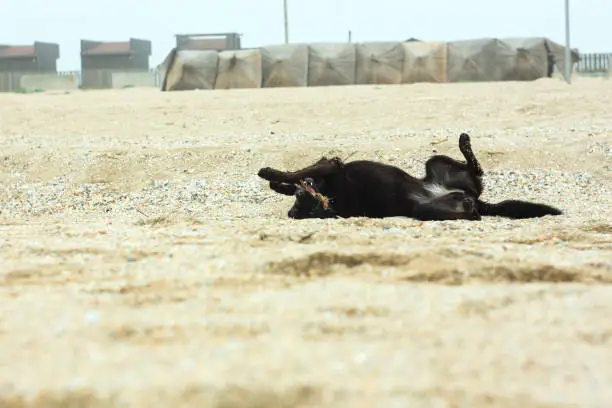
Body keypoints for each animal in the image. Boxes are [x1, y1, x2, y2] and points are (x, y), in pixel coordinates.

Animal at [256, 132, 560, 222]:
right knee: (474, 196)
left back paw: (464, 142)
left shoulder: (329, 166)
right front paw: (274, 177)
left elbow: (297, 174)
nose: (293, 212)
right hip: (428, 209)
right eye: (302, 207)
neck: (328, 197)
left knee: (474, 167)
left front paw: (271, 175)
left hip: (435, 162)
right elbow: (298, 175)